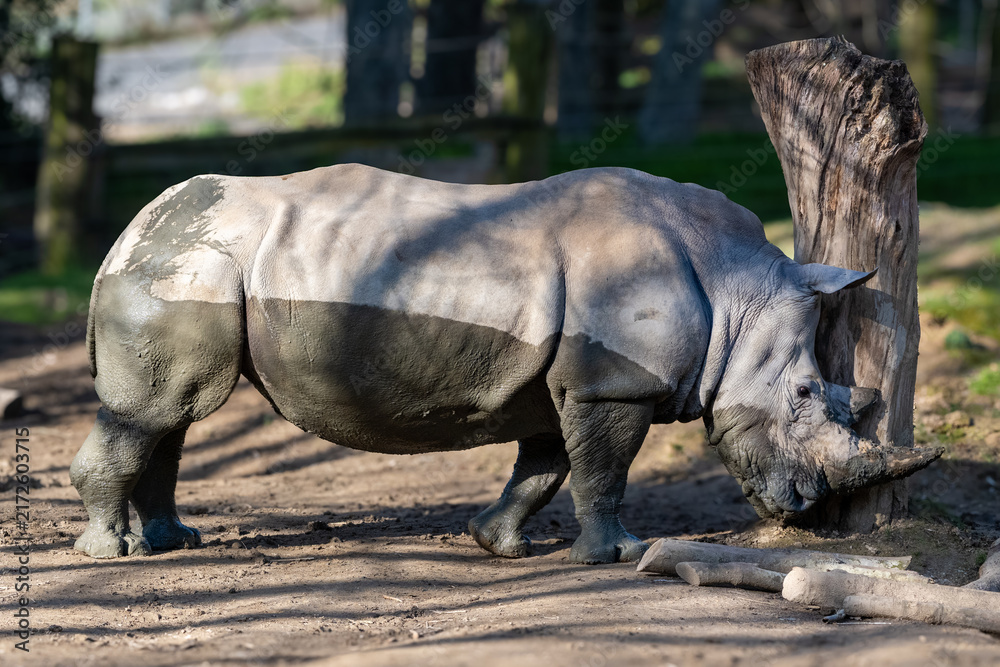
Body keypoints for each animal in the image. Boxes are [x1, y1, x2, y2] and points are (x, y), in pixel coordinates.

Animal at [71, 165, 939, 563]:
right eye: (804, 392)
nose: (803, 510)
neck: (738, 291)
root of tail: (129, 231)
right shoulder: (613, 381)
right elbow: (603, 469)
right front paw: (618, 554)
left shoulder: (573, 378)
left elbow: (546, 465)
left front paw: (499, 544)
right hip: (186, 270)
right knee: (155, 413)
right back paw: (112, 552)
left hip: (194, 269)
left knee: (171, 418)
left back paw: (173, 540)